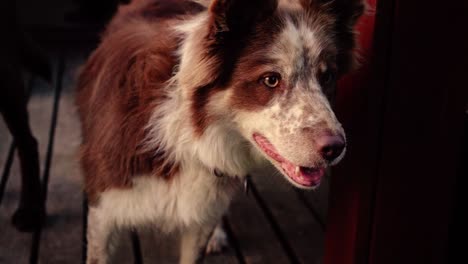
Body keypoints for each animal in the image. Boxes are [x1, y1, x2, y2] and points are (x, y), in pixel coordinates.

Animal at [75, 0, 364, 262]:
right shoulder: (103, 210)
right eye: (270, 79)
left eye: (326, 77)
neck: (187, 137)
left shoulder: (200, 218)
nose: (335, 148)